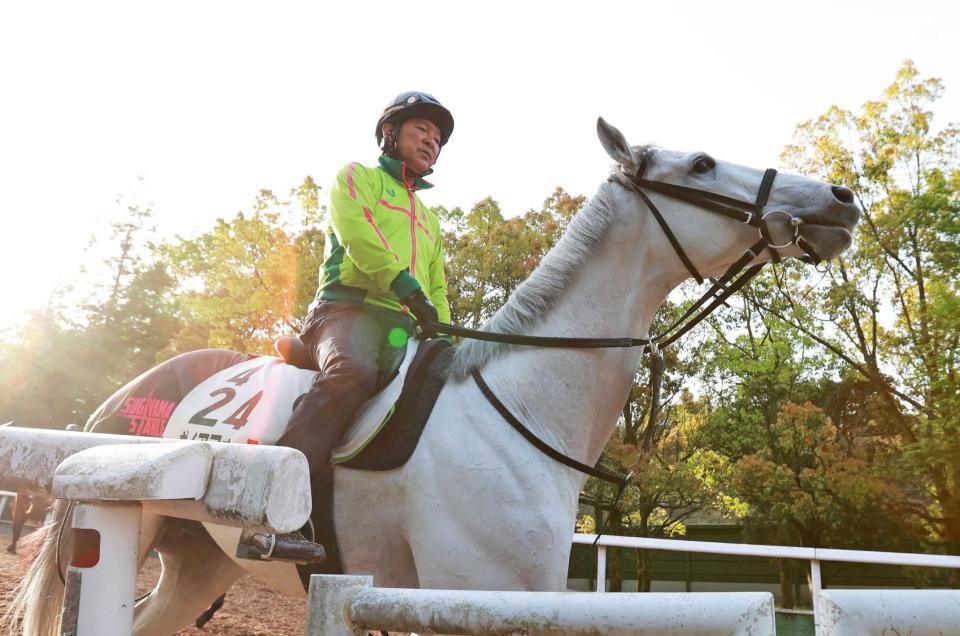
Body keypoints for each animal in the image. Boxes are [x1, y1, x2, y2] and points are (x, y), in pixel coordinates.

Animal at [5, 117, 864, 632]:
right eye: (702, 161)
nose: (840, 196)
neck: (520, 411)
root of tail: (118, 399)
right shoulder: (457, 589)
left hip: (198, 562)